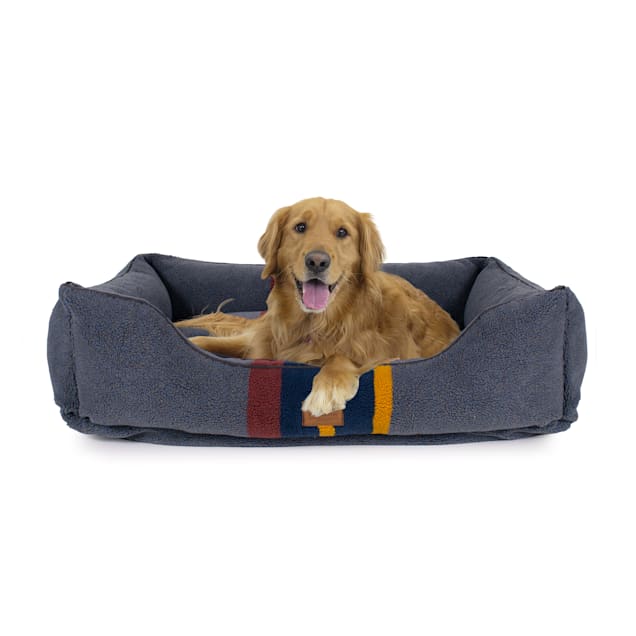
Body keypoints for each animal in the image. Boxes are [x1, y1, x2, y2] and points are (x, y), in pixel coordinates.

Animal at [175, 197, 460, 417]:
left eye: (342, 232)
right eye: (300, 227)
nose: (317, 261)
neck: (315, 323)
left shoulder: (393, 352)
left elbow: (340, 356)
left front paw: (326, 389)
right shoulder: (267, 345)